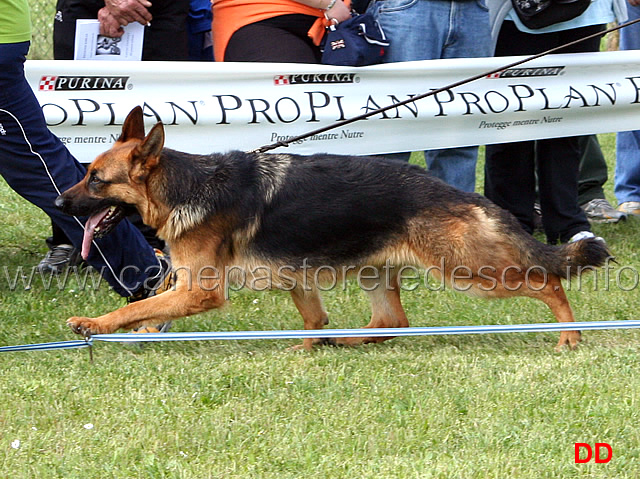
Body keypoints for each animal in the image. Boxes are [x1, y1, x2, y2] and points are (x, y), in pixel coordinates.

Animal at [56, 107, 608, 350]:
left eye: (96, 179)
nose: (60, 202)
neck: (186, 185)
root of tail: (463, 195)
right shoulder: (292, 278)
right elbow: (313, 319)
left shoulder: (201, 291)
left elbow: (137, 306)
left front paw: (94, 325)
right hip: (376, 273)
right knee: (392, 322)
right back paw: (344, 341)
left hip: (471, 273)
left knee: (548, 282)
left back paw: (569, 334)